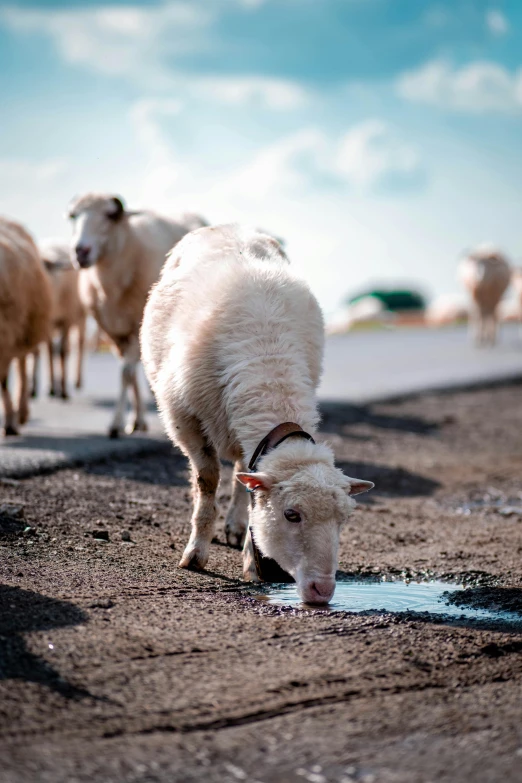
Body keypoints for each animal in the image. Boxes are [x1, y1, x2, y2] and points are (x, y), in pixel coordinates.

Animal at [68, 193, 207, 438]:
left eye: (110, 215)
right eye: (73, 216)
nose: (80, 251)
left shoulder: (135, 325)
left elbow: (125, 373)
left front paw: (115, 424)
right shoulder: (113, 332)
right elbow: (130, 375)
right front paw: (135, 421)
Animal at [140, 227, 372, 608]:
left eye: (344, 519)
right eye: (291, 515)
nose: (322, 592)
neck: (269, 366)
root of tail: (228, 226)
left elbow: (247, 487)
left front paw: (251, 560)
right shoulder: (184, 420)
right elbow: (207, 481)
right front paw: (195, 554)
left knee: (240, 471)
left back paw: (236, 527)